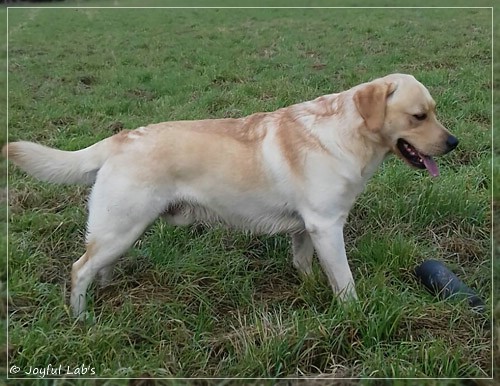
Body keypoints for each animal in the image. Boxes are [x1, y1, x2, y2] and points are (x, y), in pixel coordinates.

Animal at [3, 74, 458, 318]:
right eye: (418, 116)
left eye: (435, 110)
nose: (453, 143)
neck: (349, 134)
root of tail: (117, 139)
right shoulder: (328, 226)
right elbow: (344, 281)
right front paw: (355, 316)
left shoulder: (308, 226)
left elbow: (304, 262)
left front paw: (310, 288)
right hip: (121, 226)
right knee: (79, 268)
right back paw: (81, 317)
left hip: (121, 230)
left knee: (98, 264)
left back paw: (107, 291)